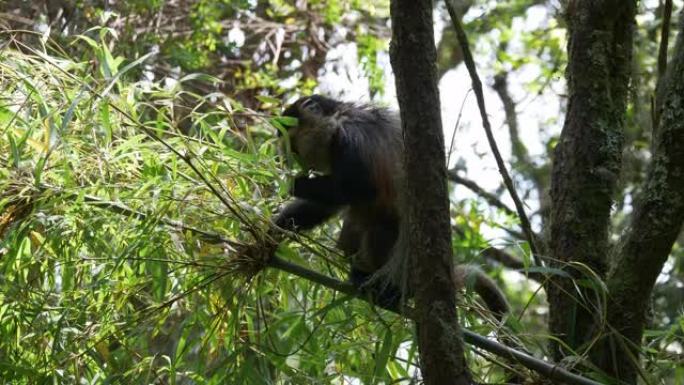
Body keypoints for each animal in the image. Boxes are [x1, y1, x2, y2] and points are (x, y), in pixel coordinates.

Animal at [272, 94, 508, 318]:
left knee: (378, 221)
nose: (283, 160)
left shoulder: (352, 135)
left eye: (292, 146)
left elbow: (359, 190)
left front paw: (292, 184)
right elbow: (328, 206)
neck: (339, 117)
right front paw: (274, 229)